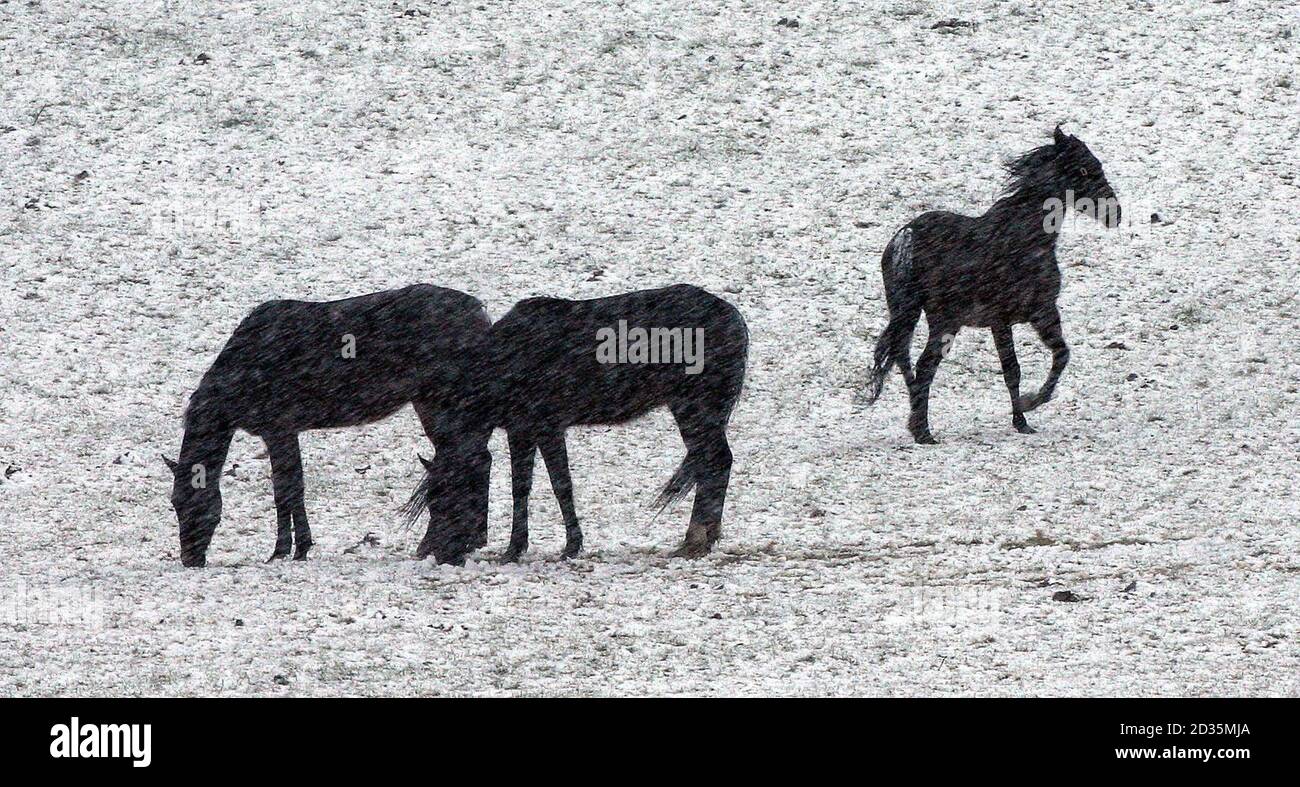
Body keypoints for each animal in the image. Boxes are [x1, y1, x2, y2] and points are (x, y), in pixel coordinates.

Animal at [162, 284, 488, 567]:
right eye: (175, 503)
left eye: (196, 503)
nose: (190, 559)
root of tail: (480, 314)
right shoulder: (283, 431)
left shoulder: (278, 429)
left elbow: (287, 489)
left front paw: (285, 551)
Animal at [405, 284, 754, 561]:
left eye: (445, 496)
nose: (432, 552)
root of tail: (734, 319)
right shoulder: (526, 429)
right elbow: (532, 486)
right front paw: (530, 547)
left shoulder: (544, 425)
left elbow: (554, 485)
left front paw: (555, 547)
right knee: (714, 462)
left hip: (696, 406)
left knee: (716, 460)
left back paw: (695, 540)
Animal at [863, 125, 1118, 439]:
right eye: (1084, 168)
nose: (1115, 213)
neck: (1028, 237)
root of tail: (907, 236)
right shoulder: (1012, 318)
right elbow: (1017, 369)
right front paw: (1026, 411)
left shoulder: (1039, 315)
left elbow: (1058, 355)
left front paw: (1026, 412)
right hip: (941, 321)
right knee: (922, 366)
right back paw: (923, 431)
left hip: (921, 316)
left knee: (908, 361)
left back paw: (917, 424)